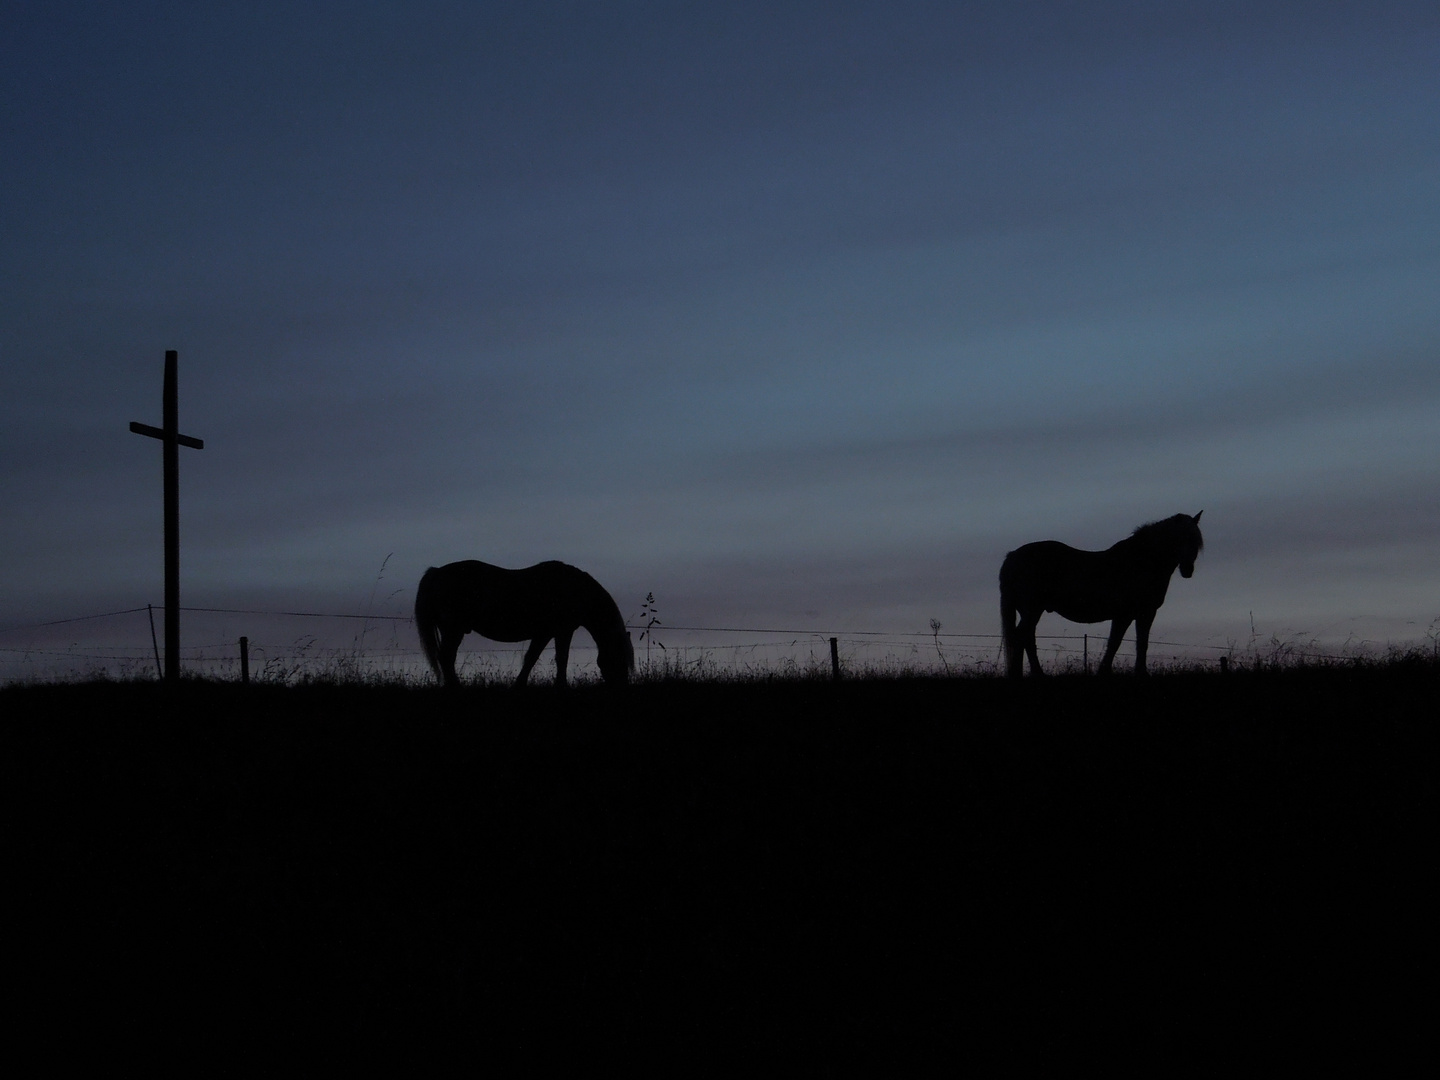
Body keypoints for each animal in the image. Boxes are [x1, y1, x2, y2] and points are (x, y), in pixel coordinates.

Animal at [420, 561, 639, 688]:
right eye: (619, 658)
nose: (622, 686)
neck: (575, 590)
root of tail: (436, 572)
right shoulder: (560, 631)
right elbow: (557, 659)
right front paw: (560, 686)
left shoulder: (547, 633)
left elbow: (533, 659)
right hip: (453, 630)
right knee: (446, 657)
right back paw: (455, 687)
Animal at [1002, 512, 1203, 679]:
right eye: (1179, 538)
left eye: (1196, 541)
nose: (1188, 570)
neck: (1141, 561)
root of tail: (1013, 556)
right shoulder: (1133, 614)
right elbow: (1125, 643)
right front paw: (1121, 672)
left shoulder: (1135, 614)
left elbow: (1128, 643)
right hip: (1032, 610)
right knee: (1021, 637)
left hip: (1030, 611)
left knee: (1026, 638)